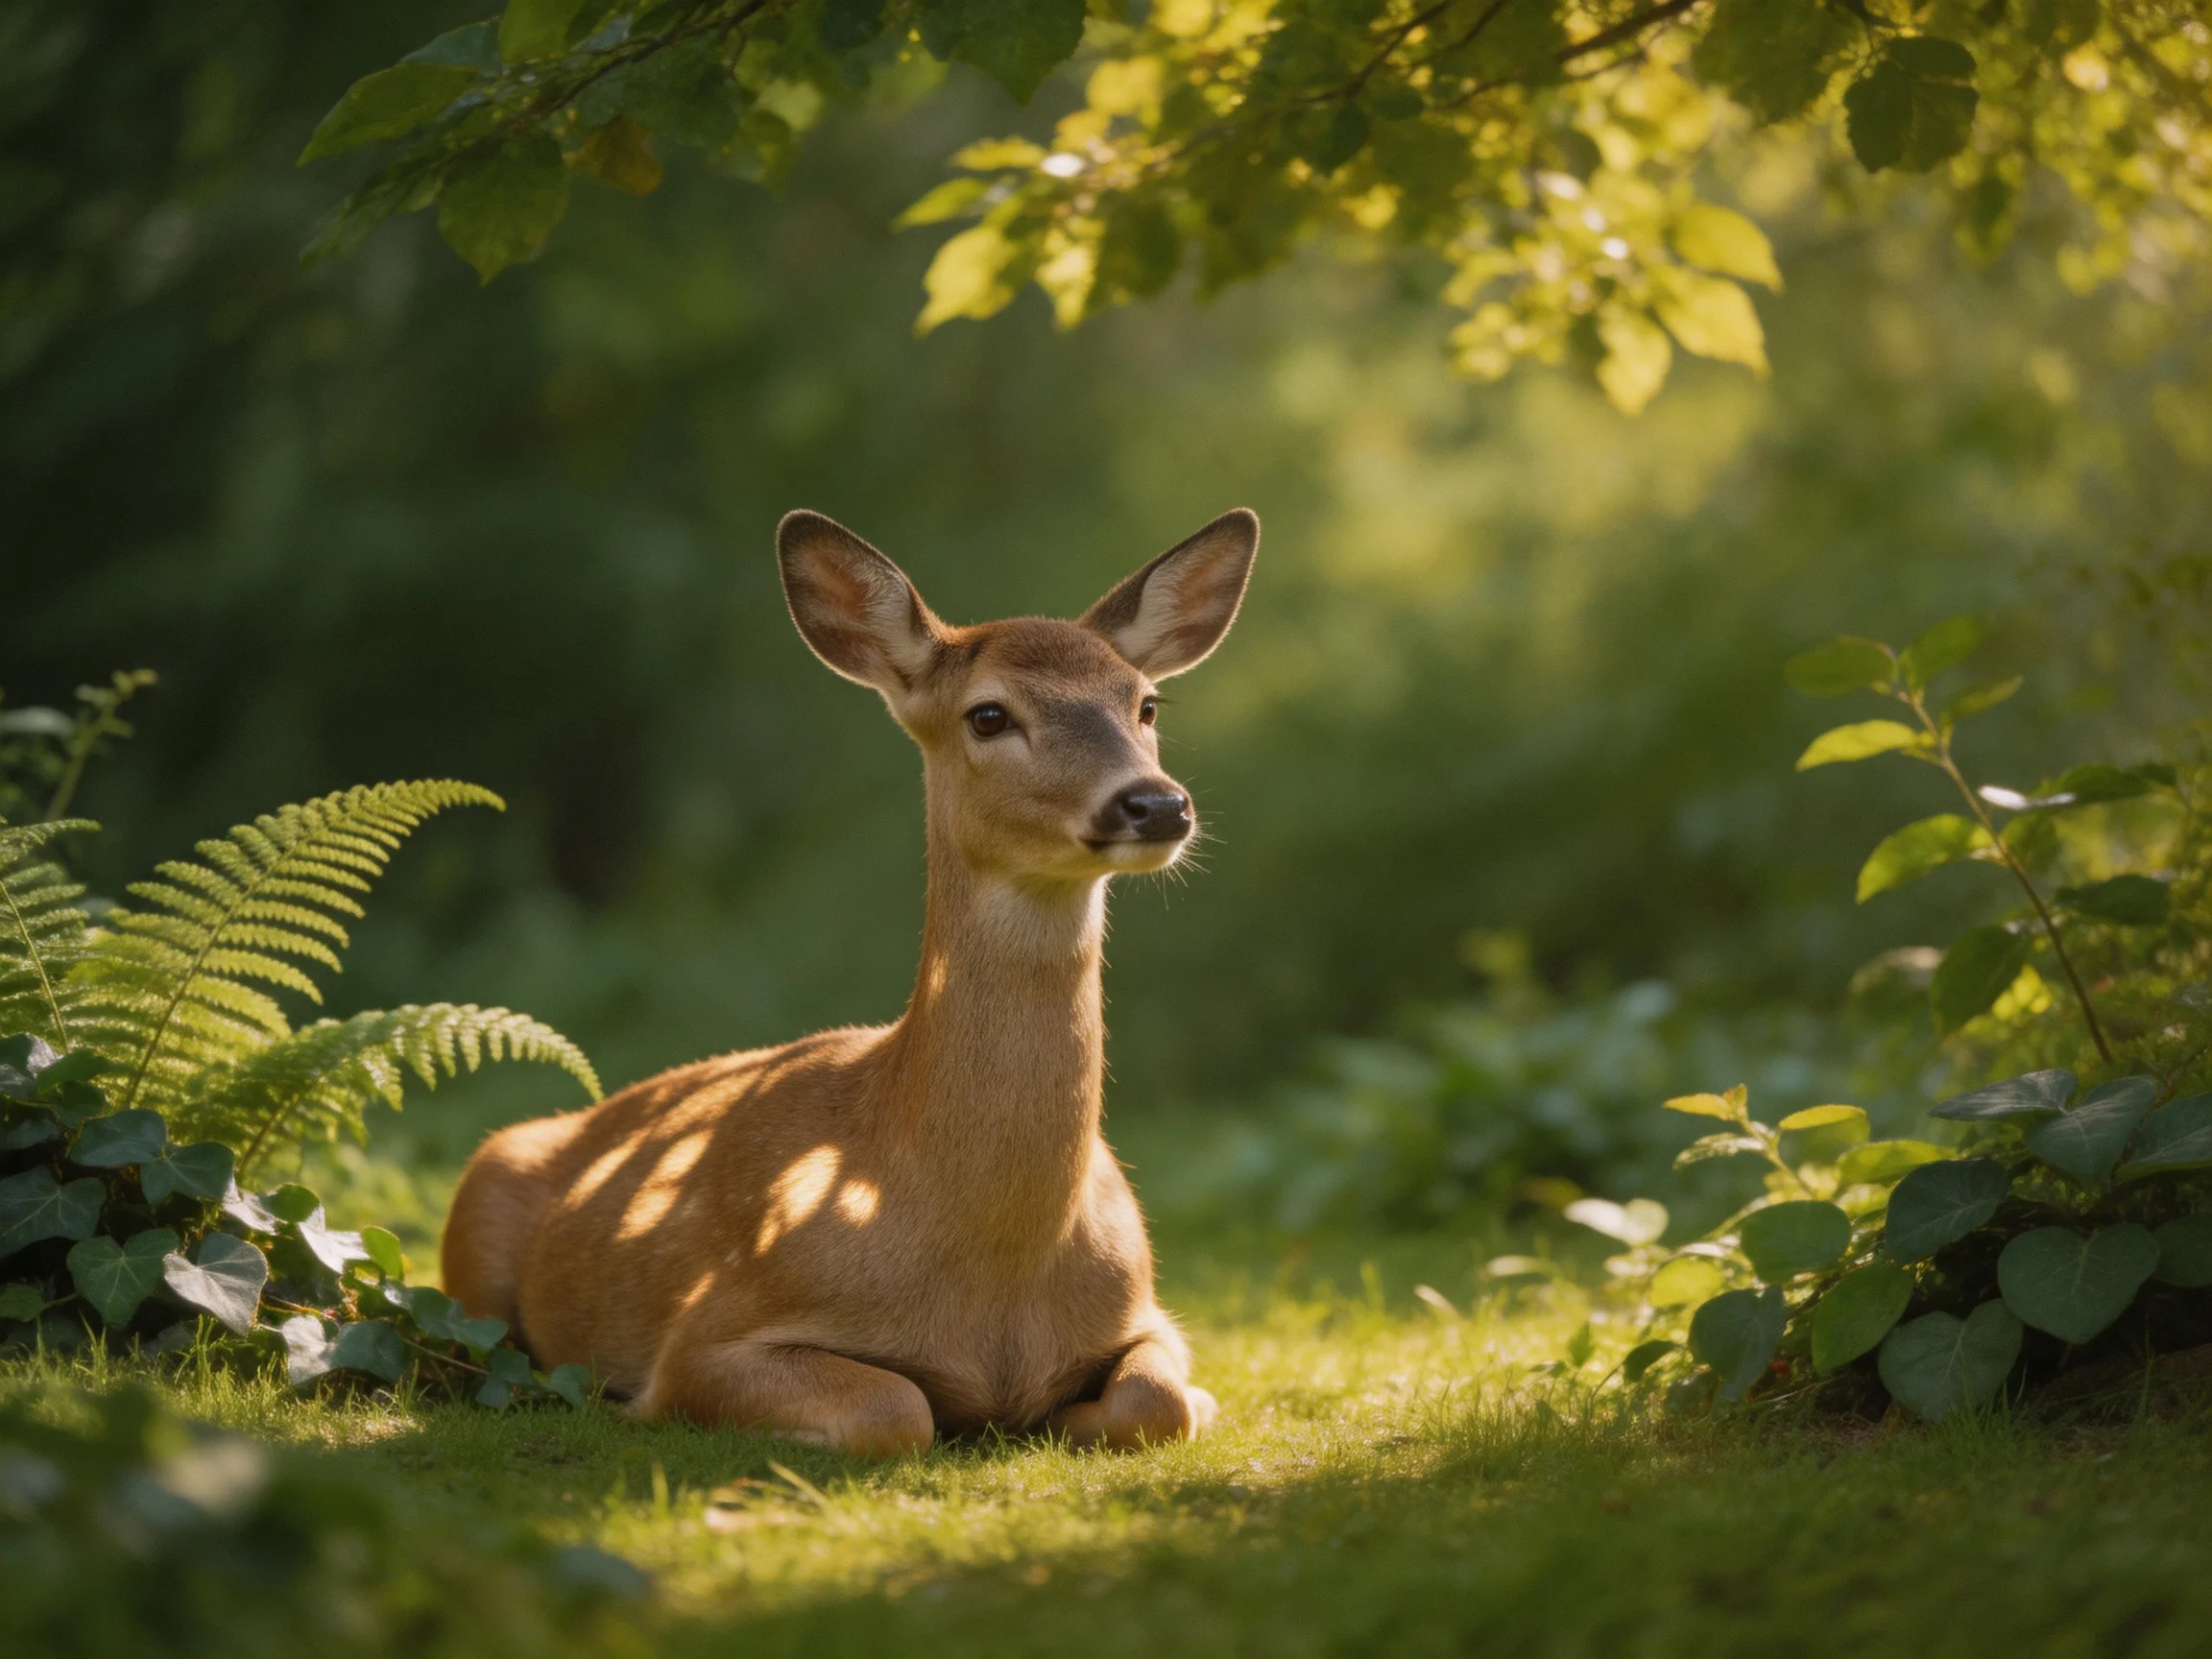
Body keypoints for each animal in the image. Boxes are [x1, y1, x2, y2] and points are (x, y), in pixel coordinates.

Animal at [440, 507, 1259, 1455]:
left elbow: (1156, 1402)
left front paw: (1152, 1403)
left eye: (1146, 703)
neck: (997, 1271)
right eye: (989, 714)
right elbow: (896, 1409)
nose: (1156, 804)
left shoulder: (1149, 1310)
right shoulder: (708, 1334)